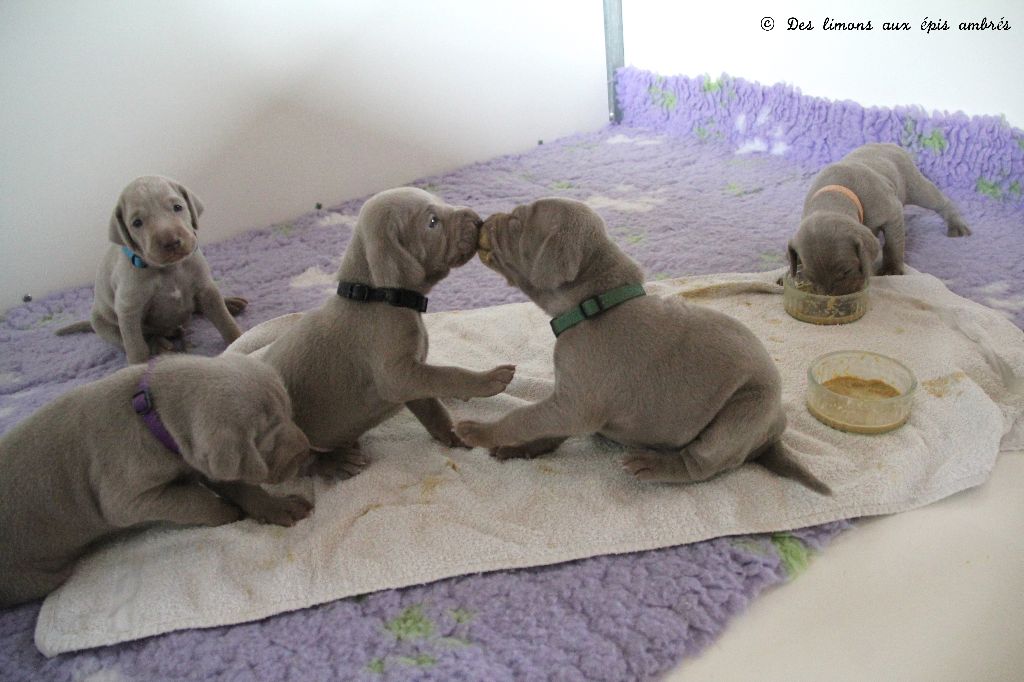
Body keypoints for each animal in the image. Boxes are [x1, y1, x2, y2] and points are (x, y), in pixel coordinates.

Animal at [57, 178, 248, 364]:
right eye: (137, 223)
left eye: (177, 207)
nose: (171, 242)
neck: (169, 269)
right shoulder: (128, 309)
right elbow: (136, 346)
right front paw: (137, 367)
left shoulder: (205, 287)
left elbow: (224, 319)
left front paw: (238, 342)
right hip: (102, 324)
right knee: (138, 338)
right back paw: (159, 344)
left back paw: (229, 303)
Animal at [256, 186, 512, 477]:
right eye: (432, 221)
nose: (478, 220)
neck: (376, 295)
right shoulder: (397, 376)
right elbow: (446, 374)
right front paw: (487, 380)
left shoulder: (414, 375)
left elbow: (432, 408)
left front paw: (454, 434)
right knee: (305, 463)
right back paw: (337, 460)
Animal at [452, 193, 827, 491]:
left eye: (516, 221)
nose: (483, 221)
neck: (597, 302)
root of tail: (774, 431)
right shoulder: (568, 403)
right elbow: (544, 425)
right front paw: (520, 446)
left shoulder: (576, 403)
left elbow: (525, 416)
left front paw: (479, 432)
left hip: (742, 414)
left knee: (702, 464)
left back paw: (654, 464)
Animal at [786, 142, 970, 292]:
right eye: (811, 276)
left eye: (846, 271)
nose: (832, 297)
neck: (834, 194)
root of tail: (888, 143)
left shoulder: (892, 213)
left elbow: (892, 244)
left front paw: (891, 269)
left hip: (915, 186)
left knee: (940, 201)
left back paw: (957, 225)